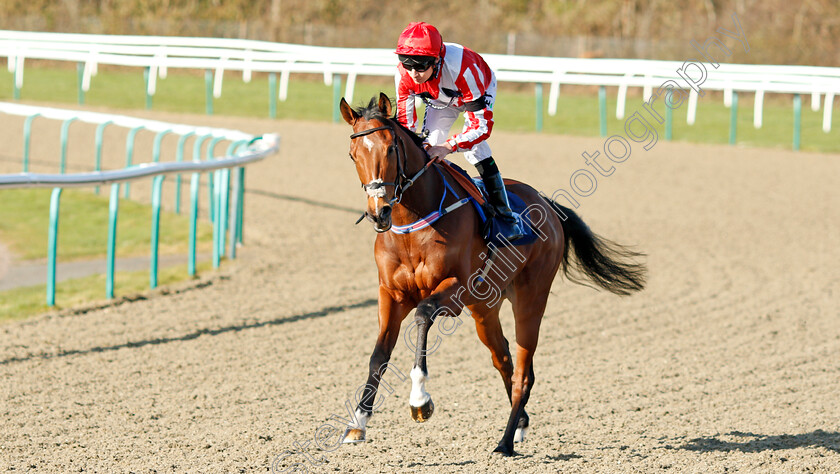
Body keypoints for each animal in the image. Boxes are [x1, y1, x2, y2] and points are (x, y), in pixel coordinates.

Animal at [338, 93, 648, 456]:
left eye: (390, 148)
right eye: (353, 154)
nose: (379, 212)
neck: (412, 225)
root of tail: (547, 203)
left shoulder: (454, 291)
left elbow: (424, 315)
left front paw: (420, 400)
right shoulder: (391, 294)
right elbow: (378, 356)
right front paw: (357, 424)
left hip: (530, 299)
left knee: (524, 372)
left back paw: (505, 441)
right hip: (485, 308)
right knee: (504, 360)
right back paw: (520, 423)